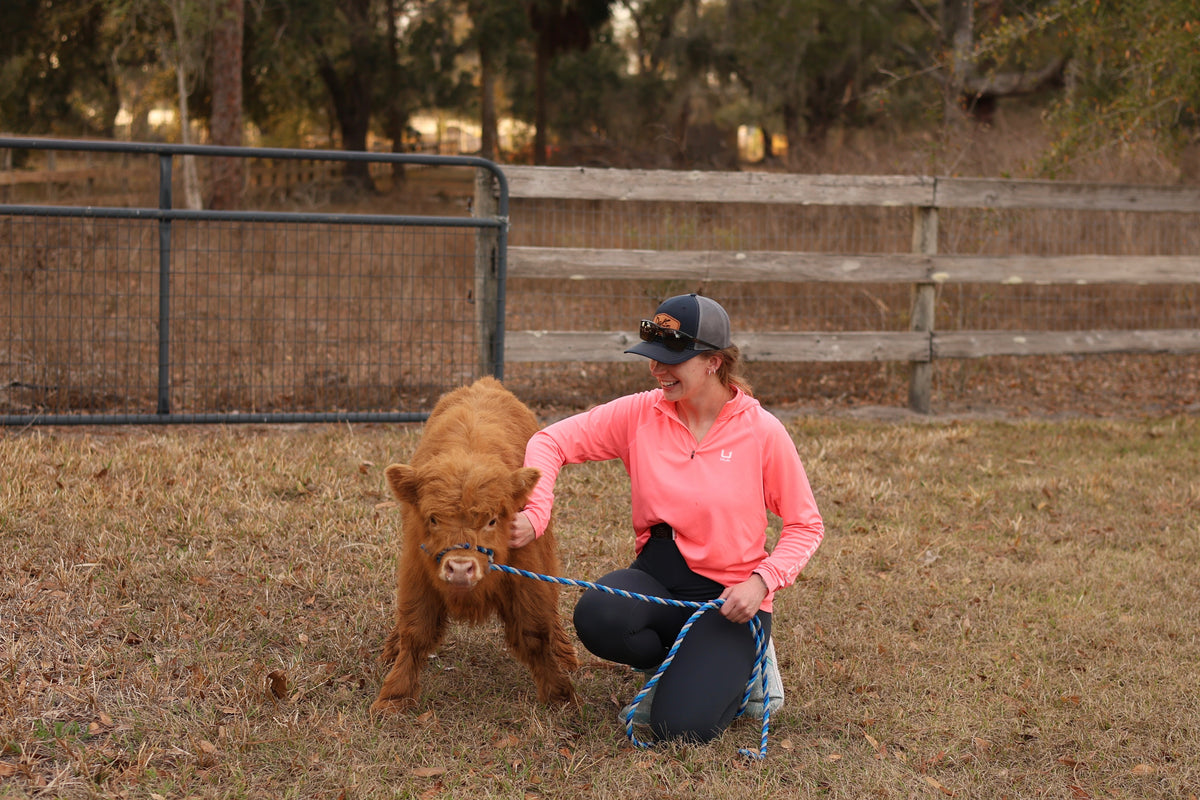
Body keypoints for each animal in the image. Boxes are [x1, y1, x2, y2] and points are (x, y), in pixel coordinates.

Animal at [371, 377, 578, 714]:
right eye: (433, 519)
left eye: (493, 520)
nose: (459, 568)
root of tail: (485, 383)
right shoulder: (417, 572)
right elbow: (415, 631)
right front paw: (394, 696)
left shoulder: (527, 574)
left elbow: (535, 631)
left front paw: (561, 695)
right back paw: (391, 648)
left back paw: (564, 651)